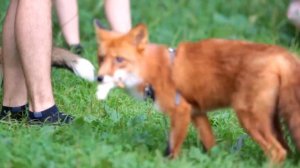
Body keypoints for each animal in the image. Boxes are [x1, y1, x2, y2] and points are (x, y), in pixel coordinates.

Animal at [95, 20, 300, 163]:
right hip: (271, 121)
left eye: (119, 59)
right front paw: (216, 161)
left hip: (248, 118)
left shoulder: (181, 111)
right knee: (287, 150)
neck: (155, 69)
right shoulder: (197, 113)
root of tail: (283, 54)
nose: (99, 78)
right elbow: (211, 145)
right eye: (101, 58)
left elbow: (172, 149)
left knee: (278, 152)